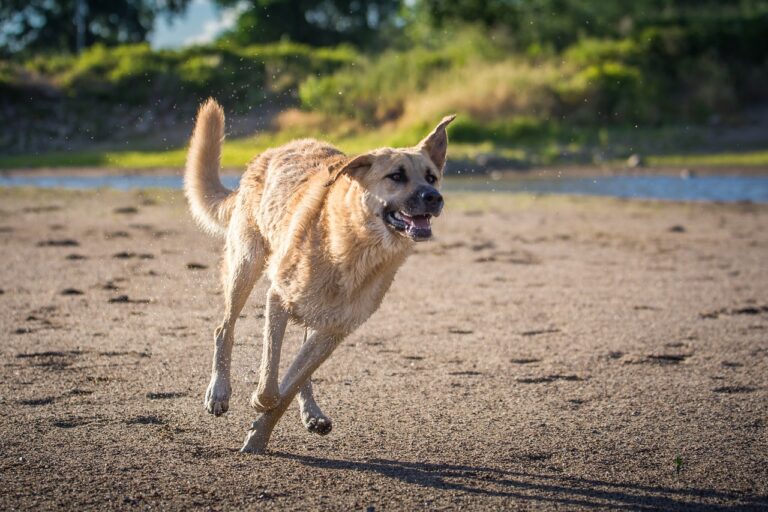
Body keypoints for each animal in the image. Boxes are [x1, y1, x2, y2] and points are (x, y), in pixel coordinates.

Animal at [183, 99, 452, 452]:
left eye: (432, 177)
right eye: (396, 176)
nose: (434, 197)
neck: (354, 246)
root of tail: (270, 152)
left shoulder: (335, 330)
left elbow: (290, 384)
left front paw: (259, 435)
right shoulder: (278, 299)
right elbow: (272, 379)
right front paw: (259, 402)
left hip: (316, 313)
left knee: (300, 369)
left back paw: (311, 412)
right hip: (245, 266)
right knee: (223, 329)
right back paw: (218, 392)